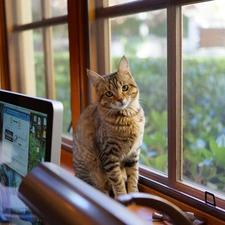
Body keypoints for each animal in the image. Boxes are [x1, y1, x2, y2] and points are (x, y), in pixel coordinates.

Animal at [73, 56, 145, 197]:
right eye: (109, 94)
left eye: (125, 88)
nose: (120, 99)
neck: (127, 118)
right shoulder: (109, 155)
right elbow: (117, 181)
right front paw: (123, 197)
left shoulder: (133, 154)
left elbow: (133, 177)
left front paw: (134, 194)